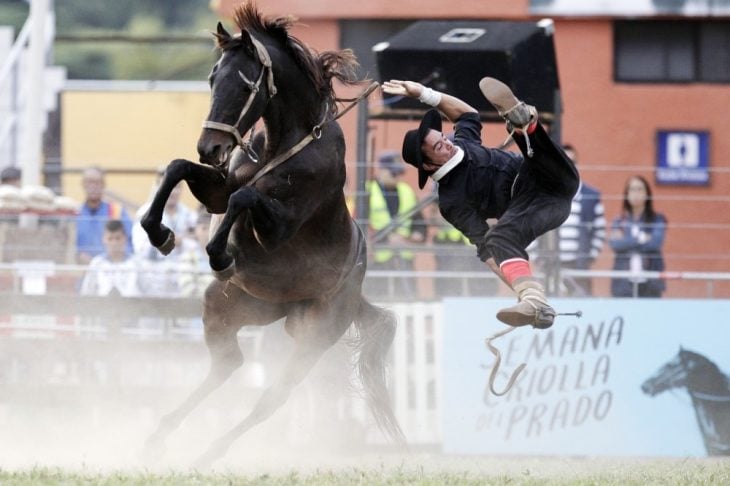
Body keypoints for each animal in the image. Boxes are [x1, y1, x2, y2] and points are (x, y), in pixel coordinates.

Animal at [141, 0, 404, 464]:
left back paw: (210, 451)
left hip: (313, 338)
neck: (286, 144)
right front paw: (159, 233)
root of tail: (357, 297)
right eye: (213, 78)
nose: (210, 147)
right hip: (232, 309)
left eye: (245, 84)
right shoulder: (216, 186)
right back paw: (161, 436)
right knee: (227, 364)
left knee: (273, 397)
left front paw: (219, 253)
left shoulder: (279, 226)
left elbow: (243, 197)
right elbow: (180, 169)